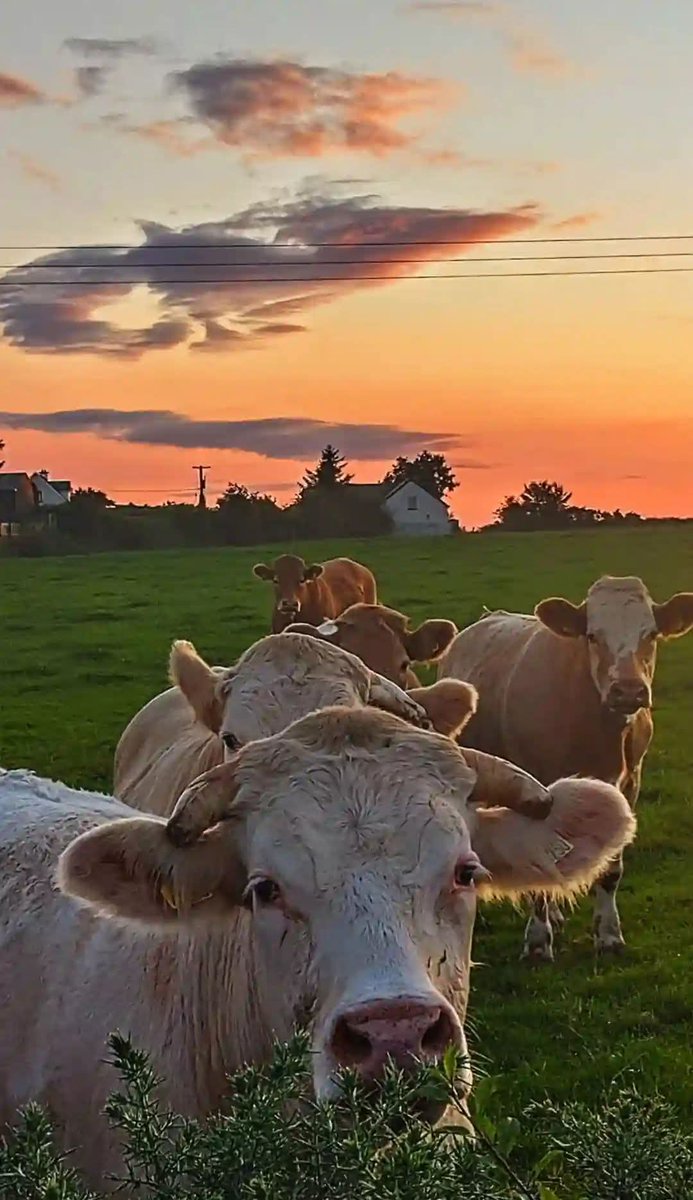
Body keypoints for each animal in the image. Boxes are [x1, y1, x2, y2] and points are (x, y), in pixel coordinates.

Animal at [438, 575, 693, 959]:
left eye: (650, 635)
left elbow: (611, 867)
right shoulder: (534, 788)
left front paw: (609, 934)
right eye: (592, 636)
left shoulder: (629, 783)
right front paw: (537, 941)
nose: (628, 690)